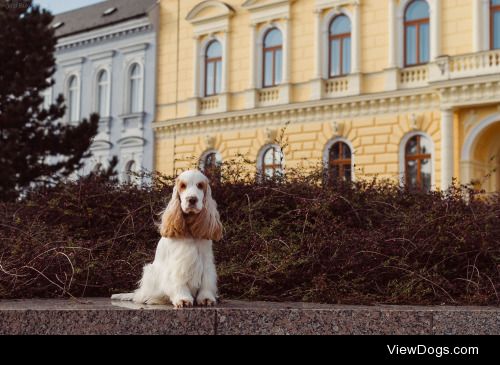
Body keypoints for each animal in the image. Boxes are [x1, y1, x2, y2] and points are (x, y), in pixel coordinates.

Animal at [113, 169, 225, 306]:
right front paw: (182, 299)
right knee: (142, 296)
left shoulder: (206, 260)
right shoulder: (177, 263)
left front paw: (206, 298)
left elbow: (206, 281)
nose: (192, 199)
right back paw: (152, 299)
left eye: (200, 185)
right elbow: (178, 281)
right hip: (150, 273)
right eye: (182, 186)